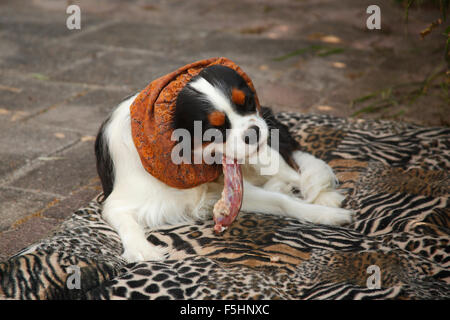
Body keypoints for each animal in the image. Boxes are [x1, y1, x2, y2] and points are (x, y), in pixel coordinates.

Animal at [96, 60, 356, 262]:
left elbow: (283, 201)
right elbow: (125, 221)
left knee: (293, 171)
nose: (254, 131)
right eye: (215, 129)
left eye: (248, 102)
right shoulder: (117, 202)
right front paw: (142, 249)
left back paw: (323, 196)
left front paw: (324, 214)